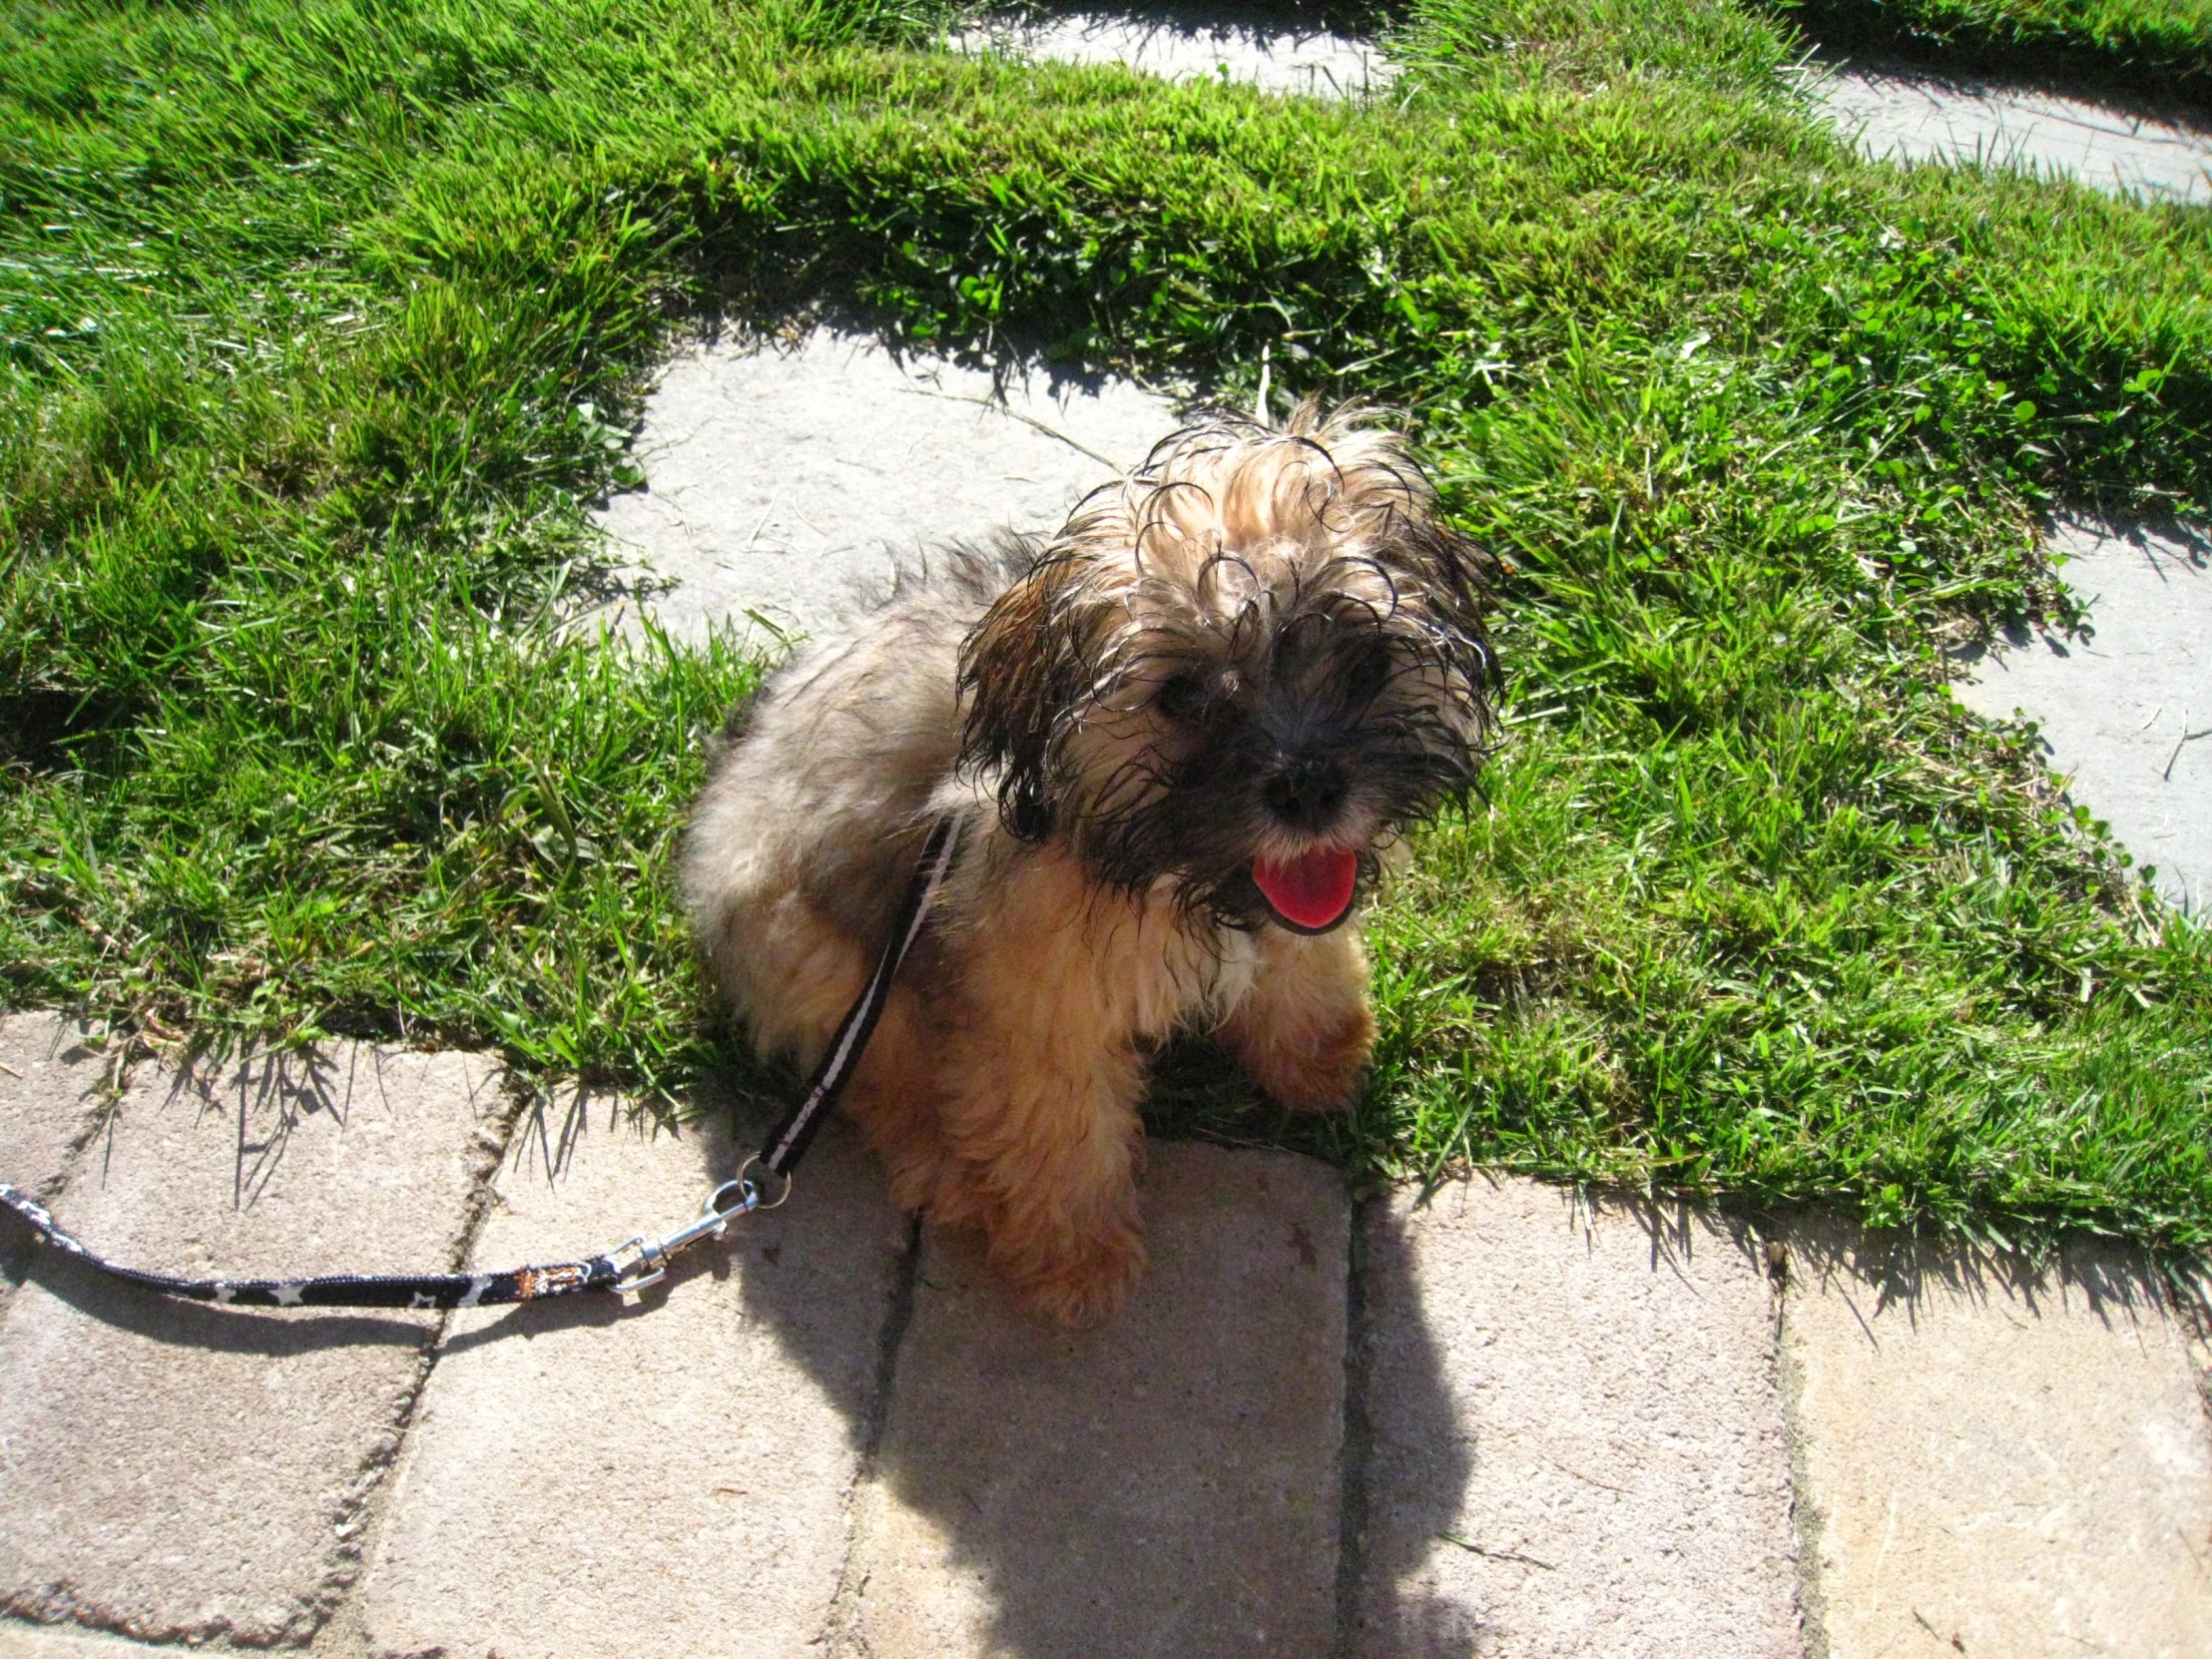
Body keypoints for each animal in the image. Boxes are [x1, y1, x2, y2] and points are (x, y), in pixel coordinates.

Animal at [681, 402, 1495, 1327]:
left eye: (1364, 658)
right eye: (1183, 695)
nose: (1312, 785)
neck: (1173, 876)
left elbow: (1301, 954)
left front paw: (1321, 1050)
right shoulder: (1039, 1004)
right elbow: (1059, 1128)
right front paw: (1077, 1259)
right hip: (833, 967)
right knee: (890, 1079)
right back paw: (955, 1176)